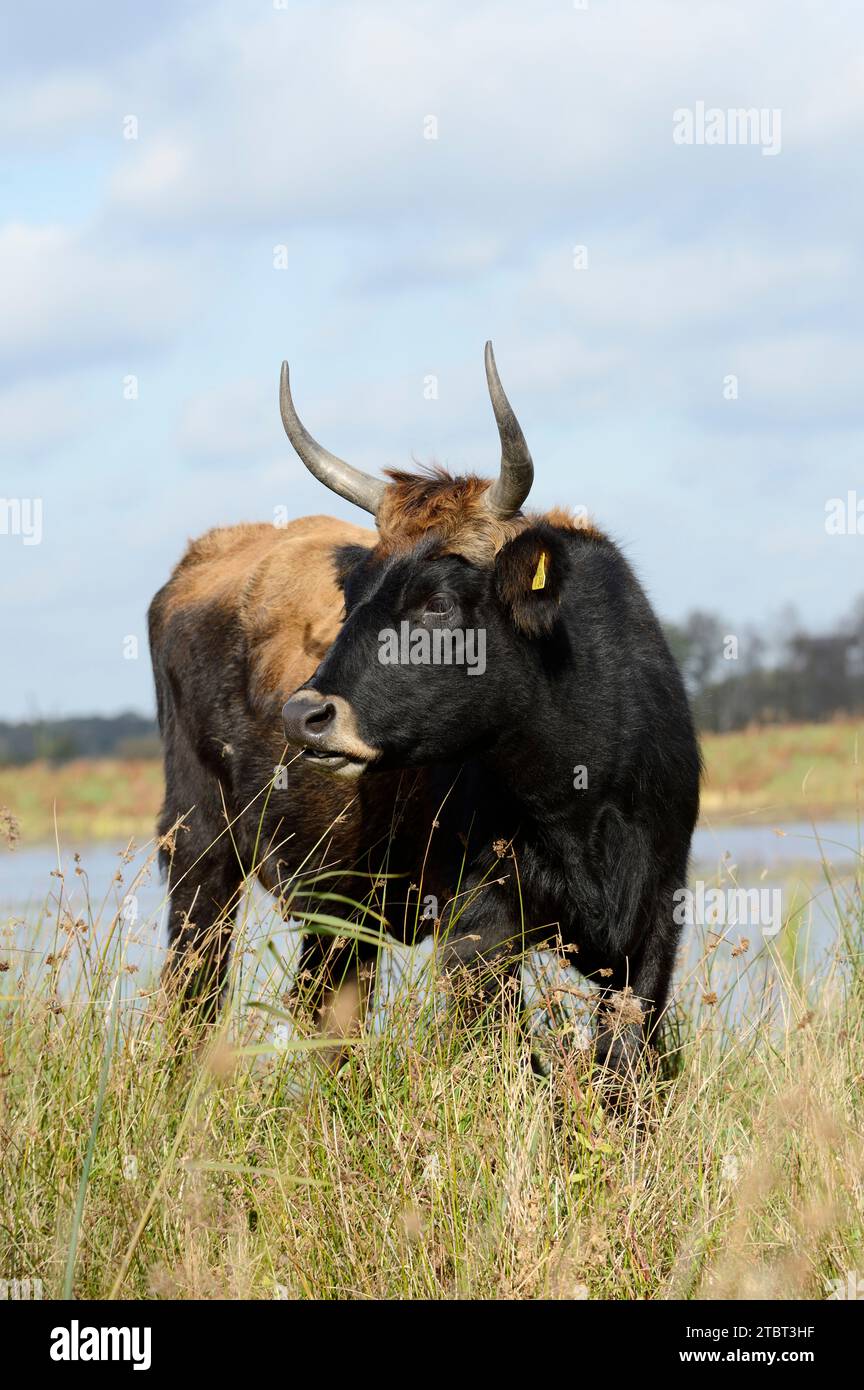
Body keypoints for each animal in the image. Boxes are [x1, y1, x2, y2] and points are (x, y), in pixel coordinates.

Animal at [149, 343, 700, 1085]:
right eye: (351, 593)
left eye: (438, 601)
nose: (304, 715)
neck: (580, 802)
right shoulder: (478, 931)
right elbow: (512, 1059)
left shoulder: (656, 920)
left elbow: (626, 1063)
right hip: (198, 848)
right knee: (195, 989)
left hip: (339, 904)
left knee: (325, 1006)